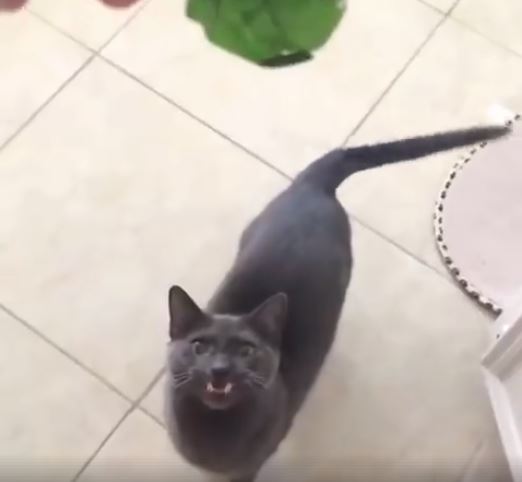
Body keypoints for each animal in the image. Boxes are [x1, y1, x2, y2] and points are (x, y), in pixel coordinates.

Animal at [165, 125, 509, 482]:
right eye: (199, 346)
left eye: (246, 350)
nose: (220, 369)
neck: (213, 432)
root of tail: (316, 187)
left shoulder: (252, 463)